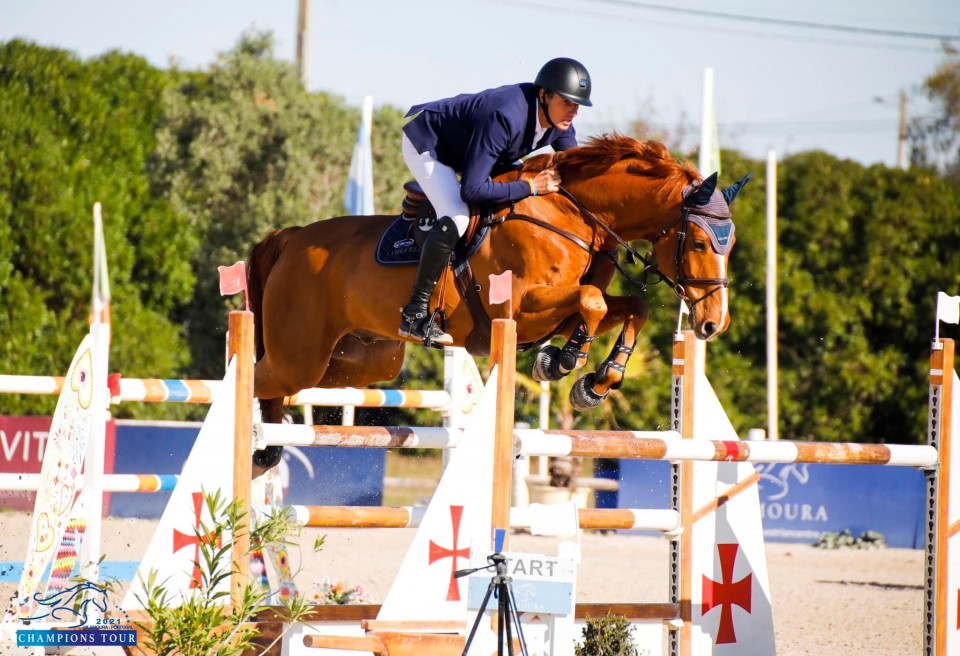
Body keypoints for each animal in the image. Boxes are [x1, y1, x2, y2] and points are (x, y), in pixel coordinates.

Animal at [246, 136, 752, 466]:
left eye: (729, 244)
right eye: (701, 243)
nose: (713, 324)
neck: (572, 215)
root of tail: (290, 238)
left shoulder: (555, 315)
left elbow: (626, 307)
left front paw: (597, 381)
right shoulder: (521, 311)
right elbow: (592, 301)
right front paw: (563, 362)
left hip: (363, 362)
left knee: (286, 388)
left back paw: (268, 446)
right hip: (301, 355)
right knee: (253, 376)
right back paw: (252, 441)